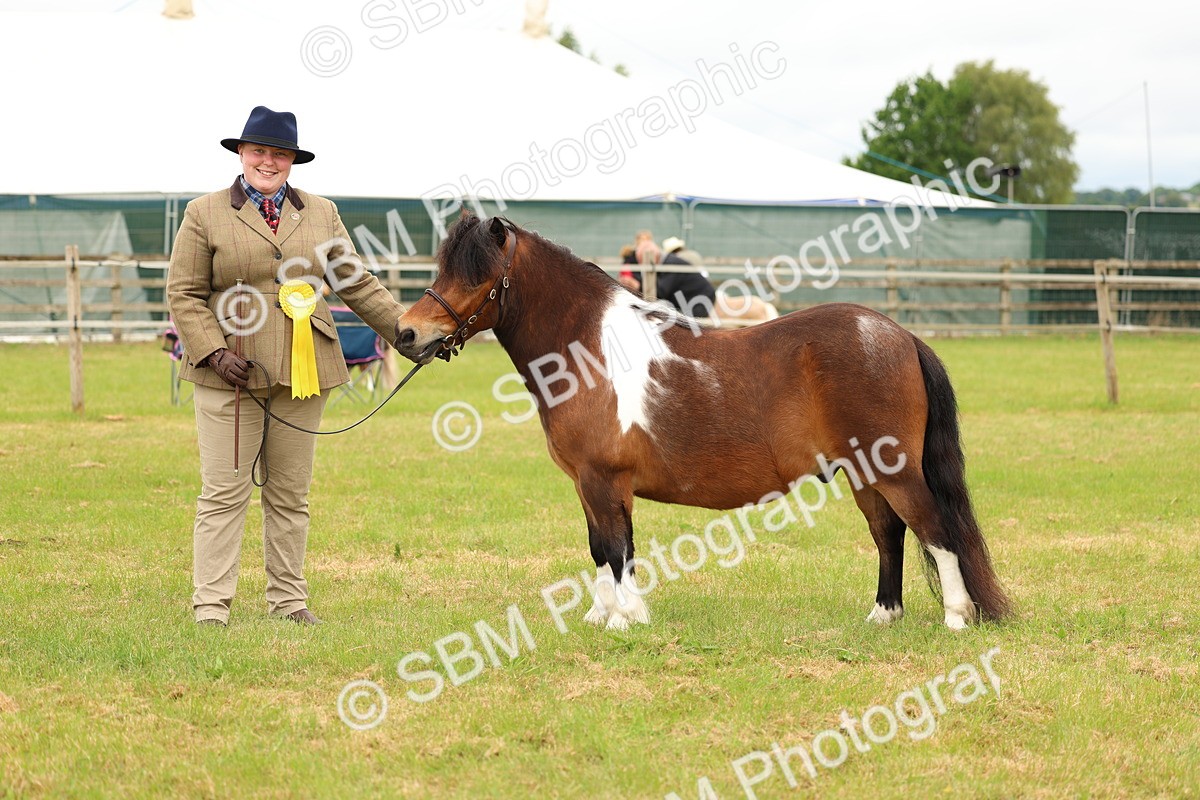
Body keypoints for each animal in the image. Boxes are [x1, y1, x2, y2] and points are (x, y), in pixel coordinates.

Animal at [393, 214, 1011, 631]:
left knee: (934, 528)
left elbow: (618, 549)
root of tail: (899, 335)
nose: (406, 333)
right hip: (865, 474)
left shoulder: (605, 480)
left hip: (896, 470)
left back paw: (957, 616)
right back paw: (884, 614)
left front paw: (626, 618)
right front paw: (600, 615)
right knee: (889, 534)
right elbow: (599, 549)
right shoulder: (586, 485)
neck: (587, 350)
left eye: (476, 275)